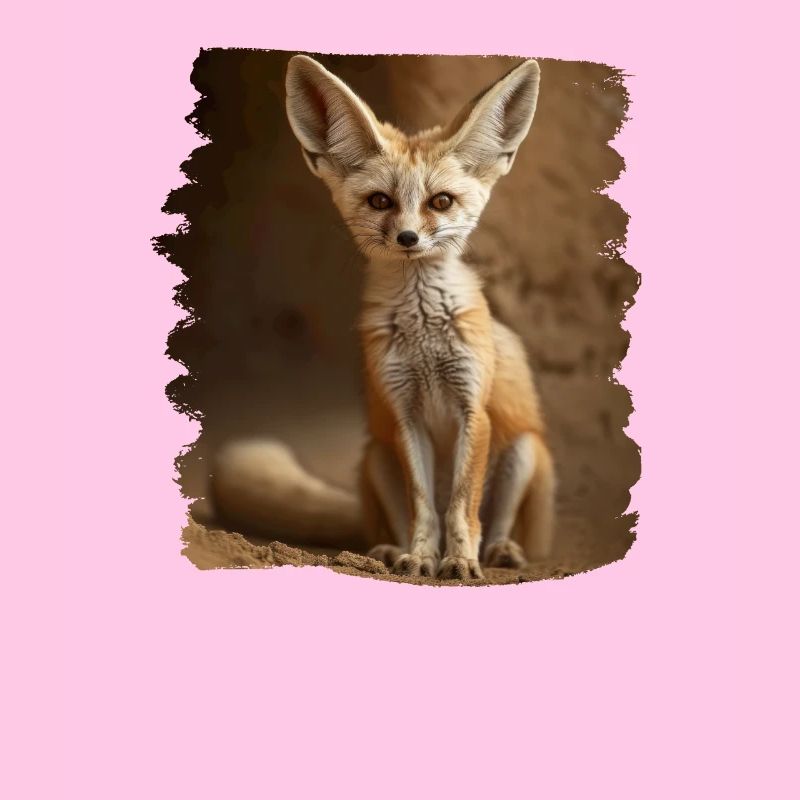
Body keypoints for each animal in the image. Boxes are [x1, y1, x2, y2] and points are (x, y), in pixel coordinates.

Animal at [211, 54, 556, 580]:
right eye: (380, 201)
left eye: (441, 202)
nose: (408, 238)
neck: (425, 337)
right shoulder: (403, 413)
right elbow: (424, 506)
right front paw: (422, 556)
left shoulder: (471, 408)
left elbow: (461, 506)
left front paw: (460, 559)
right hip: (377, 456)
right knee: (390, 520)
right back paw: (389, 552)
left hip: (522, 450)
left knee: (499, 525)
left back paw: (500, 552)